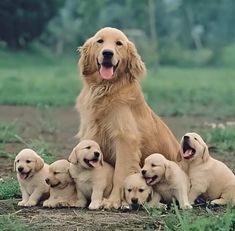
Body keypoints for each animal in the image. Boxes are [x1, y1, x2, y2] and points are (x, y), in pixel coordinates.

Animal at [76, 27, 179, 209]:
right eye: (100, 41)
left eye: (119, 43)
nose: (107, 53)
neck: (106, 88)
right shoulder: (92, 134)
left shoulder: (125, 140)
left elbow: (120, 174)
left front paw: (113, 201)